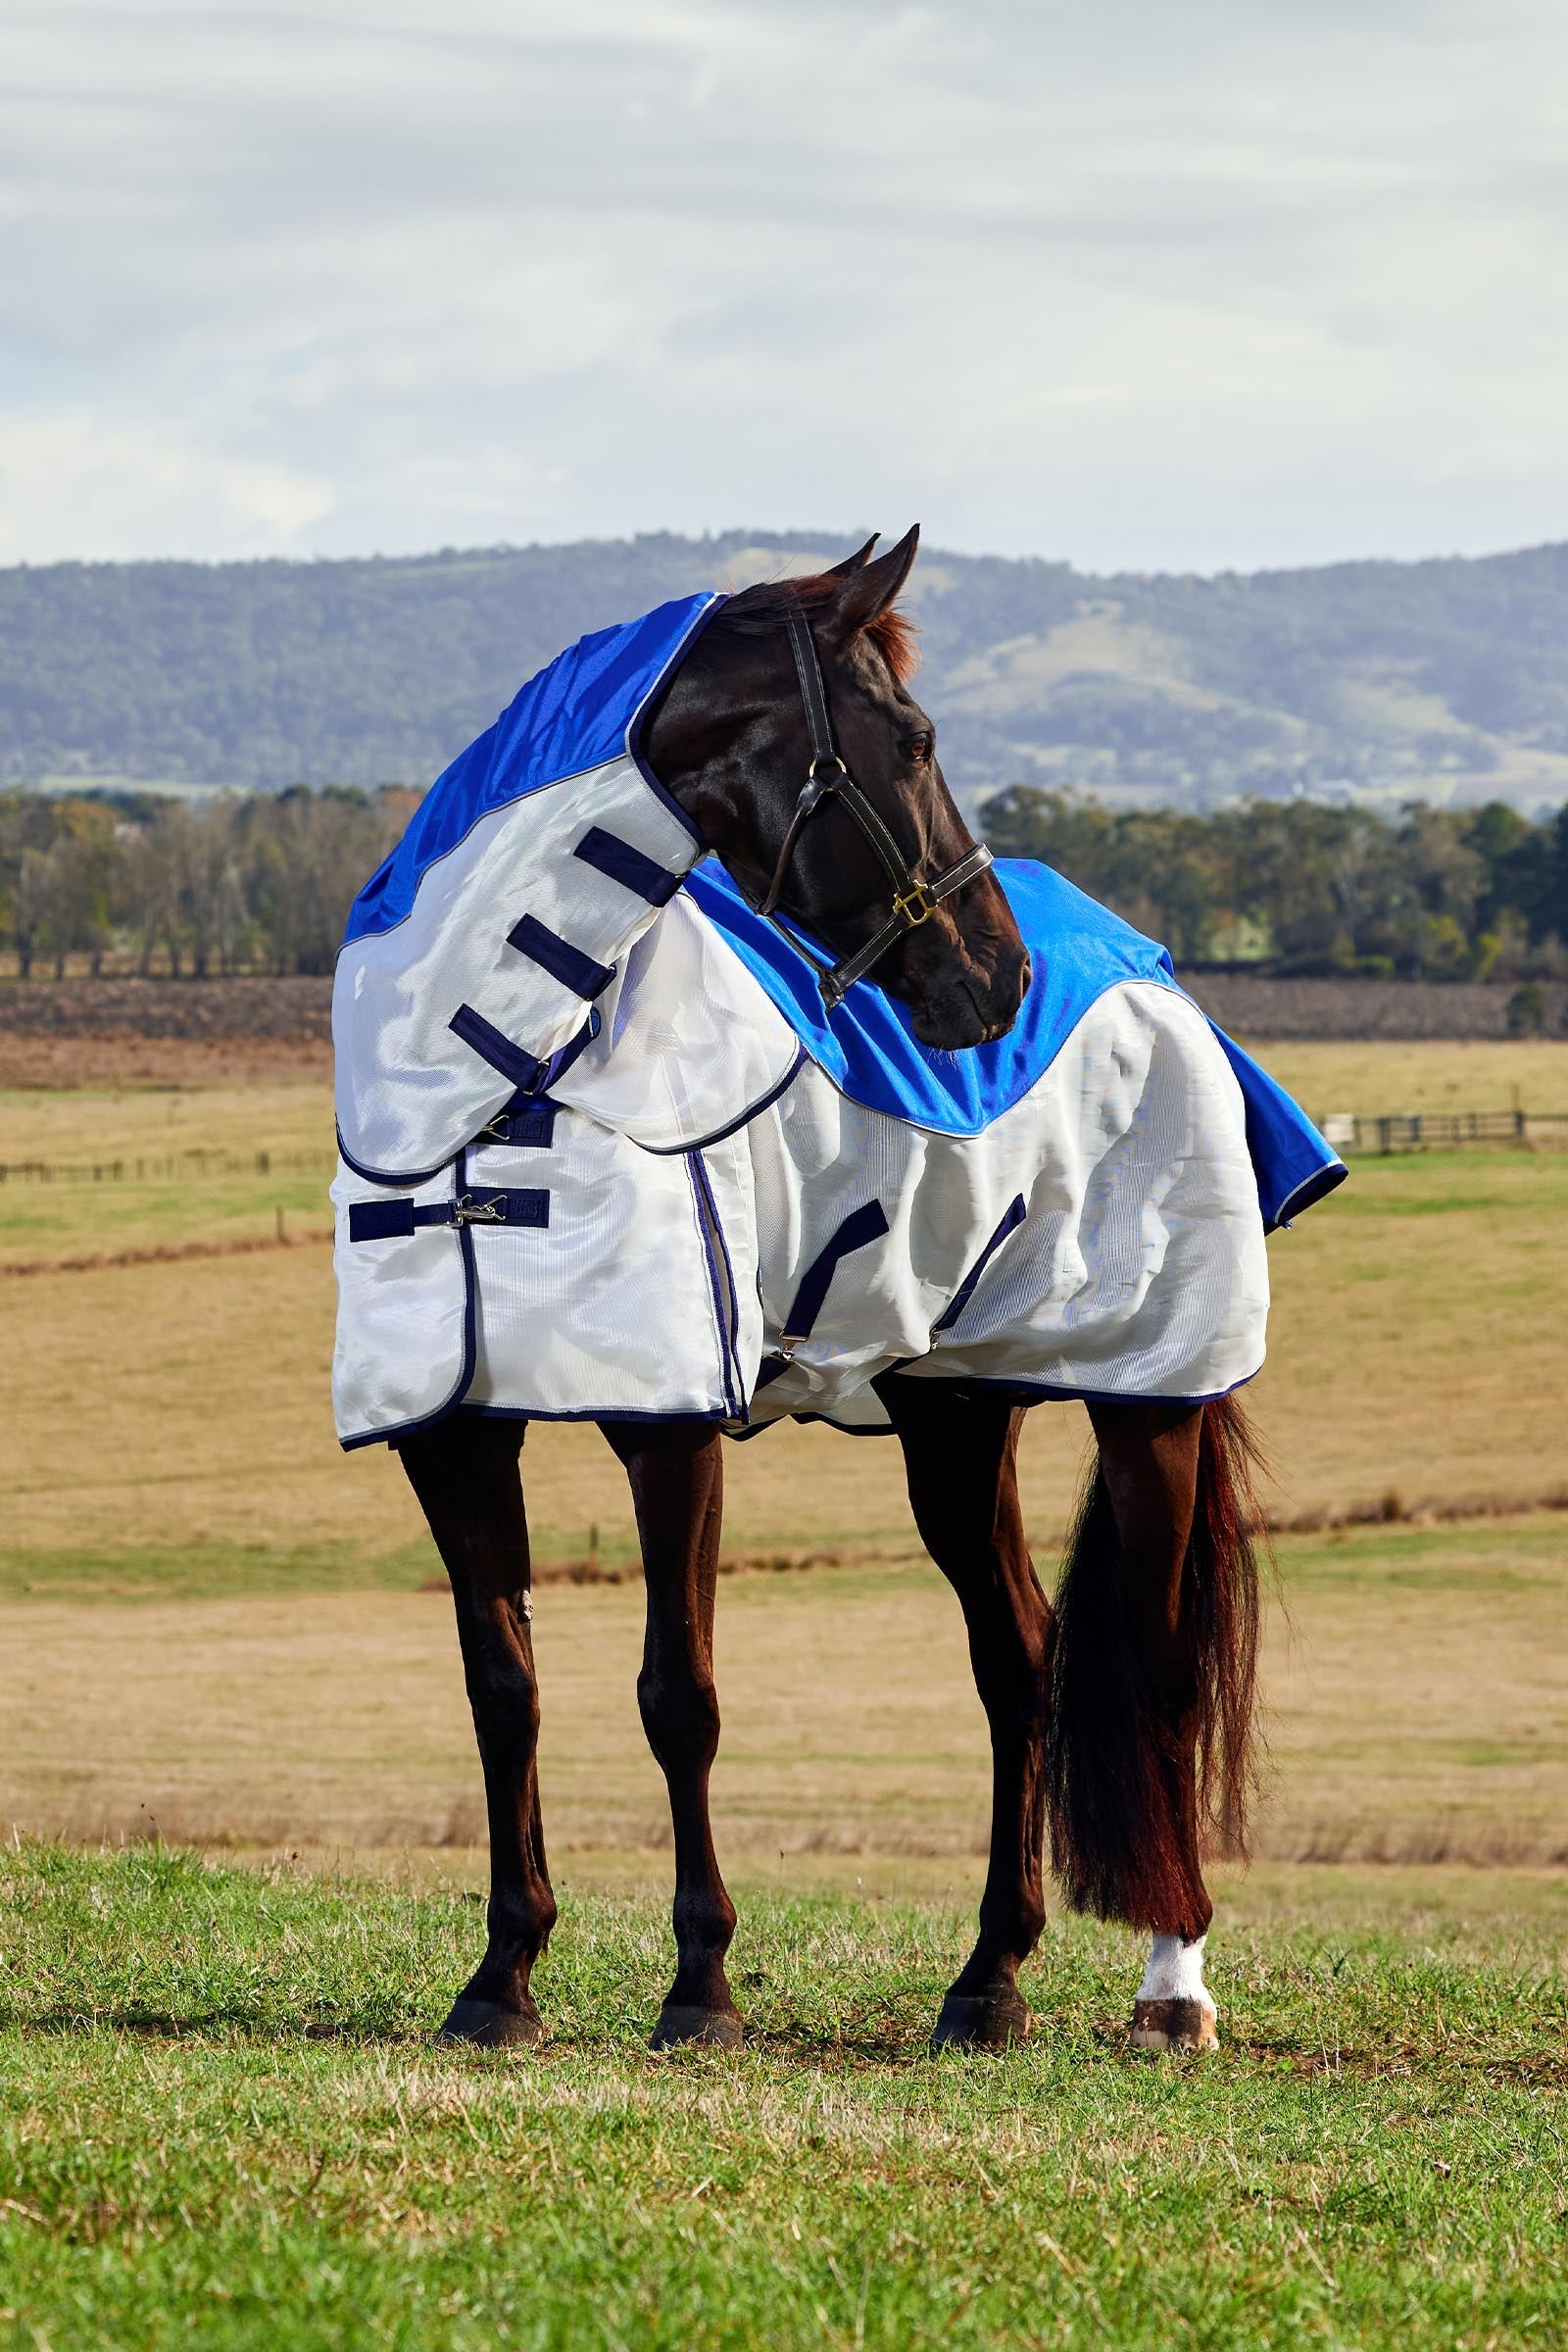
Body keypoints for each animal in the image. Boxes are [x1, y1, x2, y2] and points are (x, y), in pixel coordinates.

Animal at [345, 528, 1302, 2056]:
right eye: (911, 738)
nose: (995, 980)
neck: (488, 1086)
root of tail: (1152, 973)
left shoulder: (667, 1427)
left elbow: (678, 1694)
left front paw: (700, 1987)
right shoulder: (449, 1432)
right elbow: (505, 1688)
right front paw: (500, 1982)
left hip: (1145, 1401)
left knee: (1150, 1670)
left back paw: (1172, 1987)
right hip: (956, 1415)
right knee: (1016, 1660)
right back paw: (987, 1980)